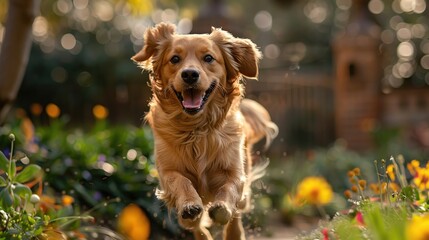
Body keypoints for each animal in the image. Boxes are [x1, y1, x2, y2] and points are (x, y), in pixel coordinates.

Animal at [132, 23, 276, 240]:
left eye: (208, 58)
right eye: (175, 59)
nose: (190, 74)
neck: (196, 129)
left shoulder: (235, 171)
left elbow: (229, 189)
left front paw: (222, 208)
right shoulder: (167, 171)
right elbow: (181, 182)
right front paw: (190, 205)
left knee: (237, 211)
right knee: (194, 224)